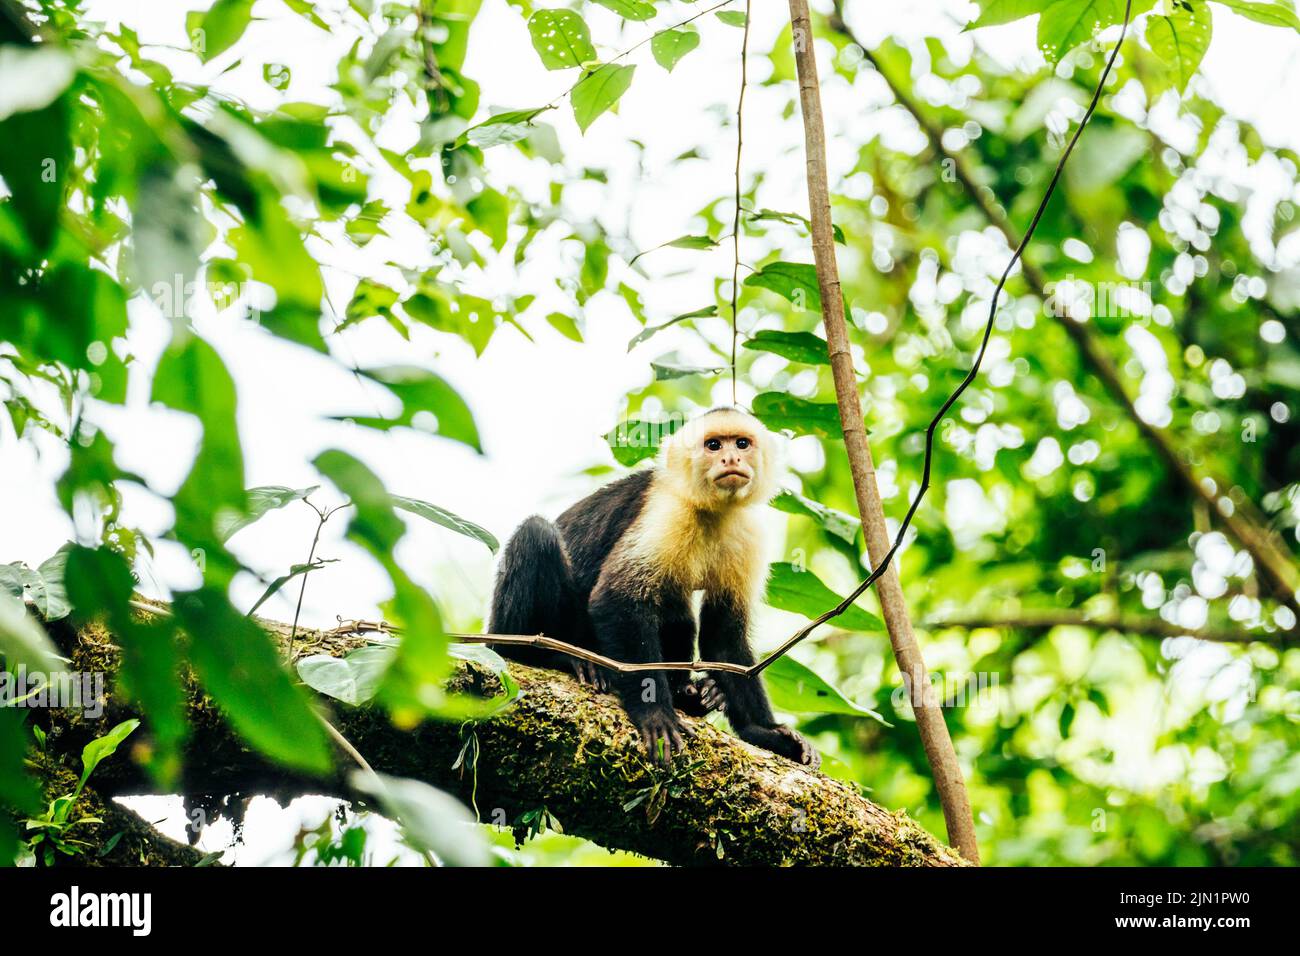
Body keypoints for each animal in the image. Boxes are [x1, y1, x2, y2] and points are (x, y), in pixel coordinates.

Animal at [488, 406, 818, 770]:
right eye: (714, 445)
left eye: (742, 444)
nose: (731, 458)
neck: (713, 511)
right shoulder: (666, 512)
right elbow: (616, 599)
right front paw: (655, 712)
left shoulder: (748, 533)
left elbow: (724, 640)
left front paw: (765, 733)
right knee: (537, 535)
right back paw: (554, 656)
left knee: (679, 612)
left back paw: (696, 697)